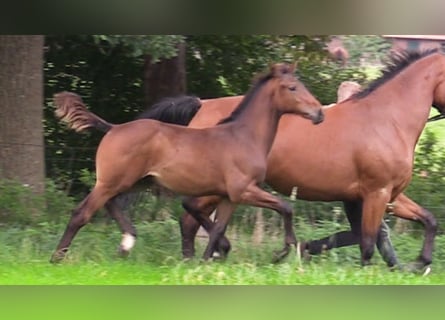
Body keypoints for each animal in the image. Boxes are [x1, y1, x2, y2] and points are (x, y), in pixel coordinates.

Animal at [51, 62, 322, 262]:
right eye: (292, 87)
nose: (319, 113)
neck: (244, 136)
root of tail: (113, 128)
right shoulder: (244, 190)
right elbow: (286, 207)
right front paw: (283, 252)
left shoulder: (229, 197)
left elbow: (218, 228)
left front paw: (207, 259)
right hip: (112, 182)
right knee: (81, 213)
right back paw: (57, 258)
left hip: (134, 182)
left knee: (111, 204)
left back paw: (127, 242)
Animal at [119, 50, 442, 270]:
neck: (386, 120)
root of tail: (201, 105)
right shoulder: (377, 193)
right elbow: (368, 241)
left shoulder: (385, 195)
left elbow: (426, 221)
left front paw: (419, 263)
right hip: (214, 187)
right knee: (189, 216)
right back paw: (208, 254)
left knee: (189, 219)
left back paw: (198, 258)